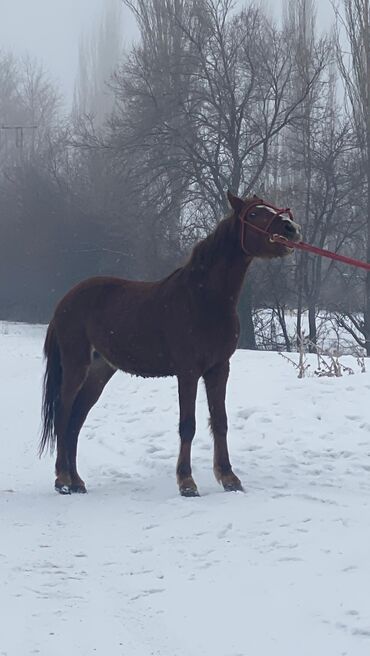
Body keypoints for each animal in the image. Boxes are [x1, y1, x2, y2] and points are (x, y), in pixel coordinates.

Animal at [39, 192, 300, 494]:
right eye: (255, 214)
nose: (291, 229)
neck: (204, 298)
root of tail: (65, 300)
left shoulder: (219, 369)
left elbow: (220, 421)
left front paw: (229, 478)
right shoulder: (188, 371)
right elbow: (188, 424)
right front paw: (187, 482)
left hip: (99, 371)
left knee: (75, 421)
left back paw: (77, 481)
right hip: (75, 366)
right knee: (63, 414)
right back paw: (62, 480)